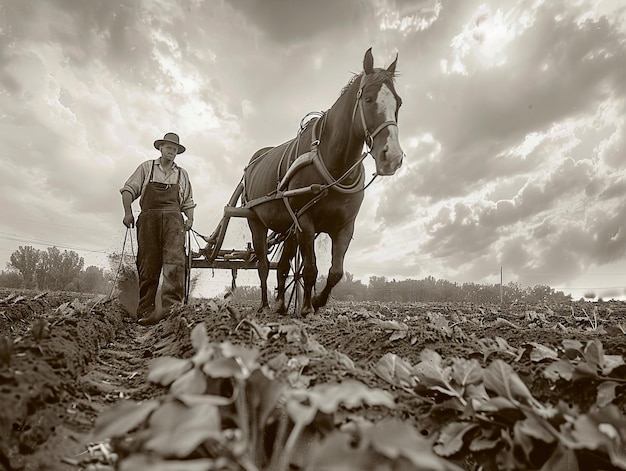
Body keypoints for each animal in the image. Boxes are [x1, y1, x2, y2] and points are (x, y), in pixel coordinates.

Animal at [241, 48, 402, 318]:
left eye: (398, 103)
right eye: (368, 99)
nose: (392, 157)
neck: (333, 164)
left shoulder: (345, 226)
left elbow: (335, 272)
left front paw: (316, 301)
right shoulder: (305, 221)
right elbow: (310, 269)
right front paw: (307, 306)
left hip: (288, 227)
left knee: (282, 265)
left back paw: (281, 304)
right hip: (256, 221)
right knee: (263, 265)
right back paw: (264, 305)